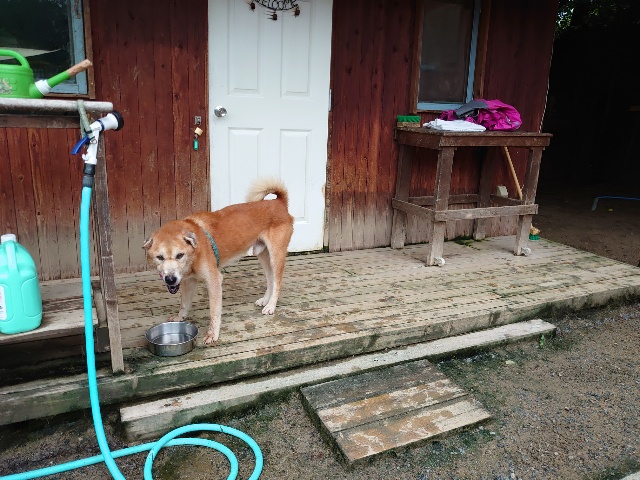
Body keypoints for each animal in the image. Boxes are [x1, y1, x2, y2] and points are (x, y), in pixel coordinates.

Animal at [143, 178, 294, 345]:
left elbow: (214, 312)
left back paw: (271, 306)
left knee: (277, 282)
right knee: (270, 280)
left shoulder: (214, 280)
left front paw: (212, 333)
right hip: (262, 255)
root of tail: (278, 202)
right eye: (160, 257)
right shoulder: (189, 282)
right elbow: (184, 304)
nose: (170, 279)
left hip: (275, 256)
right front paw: (179, 318)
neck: (195, 254)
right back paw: (266, 300)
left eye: (179, 255)